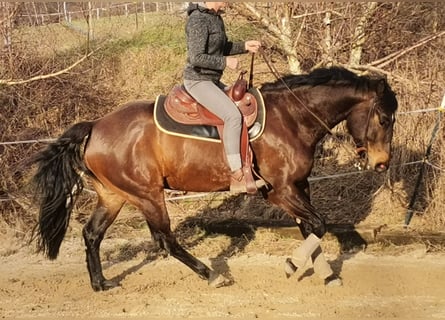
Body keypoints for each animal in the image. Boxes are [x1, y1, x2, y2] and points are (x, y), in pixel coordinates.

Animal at [32, 66, 398, 292]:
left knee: (92, 234)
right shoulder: (280, 191)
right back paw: (211, 276)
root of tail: (95, 126)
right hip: (148, 195)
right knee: (165, 240)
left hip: (115, 196)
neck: (291, 118)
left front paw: (326, 276)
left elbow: (312, 228)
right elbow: (318, 225)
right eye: (384, 118)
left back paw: (101, 283)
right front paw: (294, 265)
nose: (382, 164)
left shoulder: (299, 187)